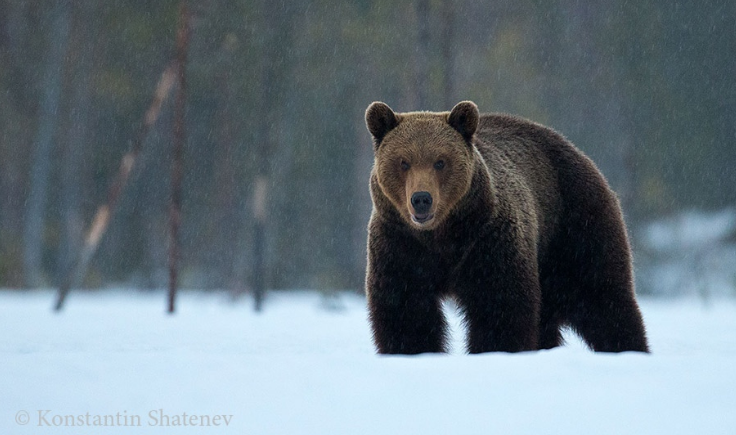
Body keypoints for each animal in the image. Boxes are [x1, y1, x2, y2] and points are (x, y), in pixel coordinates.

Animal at [366, 101, 648, 354]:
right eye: (403, 162)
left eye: (440, 161)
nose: (422, 199)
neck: (444, 235)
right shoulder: (400, 246)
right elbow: (406, 311)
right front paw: (413, 350)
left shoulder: (489, 239)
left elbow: (500, 306)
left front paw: (496, 349)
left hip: (574, 223)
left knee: (601, 296)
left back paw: (628, 348)